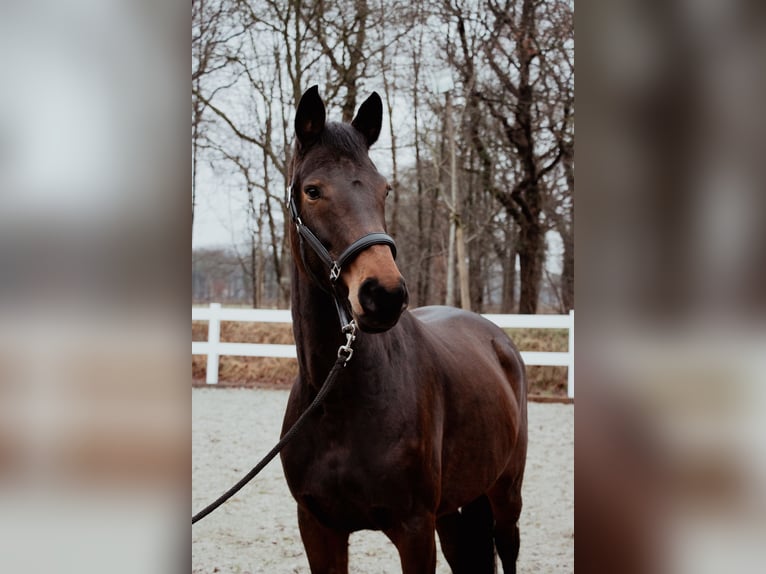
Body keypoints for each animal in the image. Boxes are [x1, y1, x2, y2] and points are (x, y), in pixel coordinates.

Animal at [279, 85, 528, 574]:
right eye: (313, 191)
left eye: (385, 189)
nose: (385, 294)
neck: (337, 403)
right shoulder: (318, 528)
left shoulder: (414, 530)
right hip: (454, 512)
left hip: (505, 495)